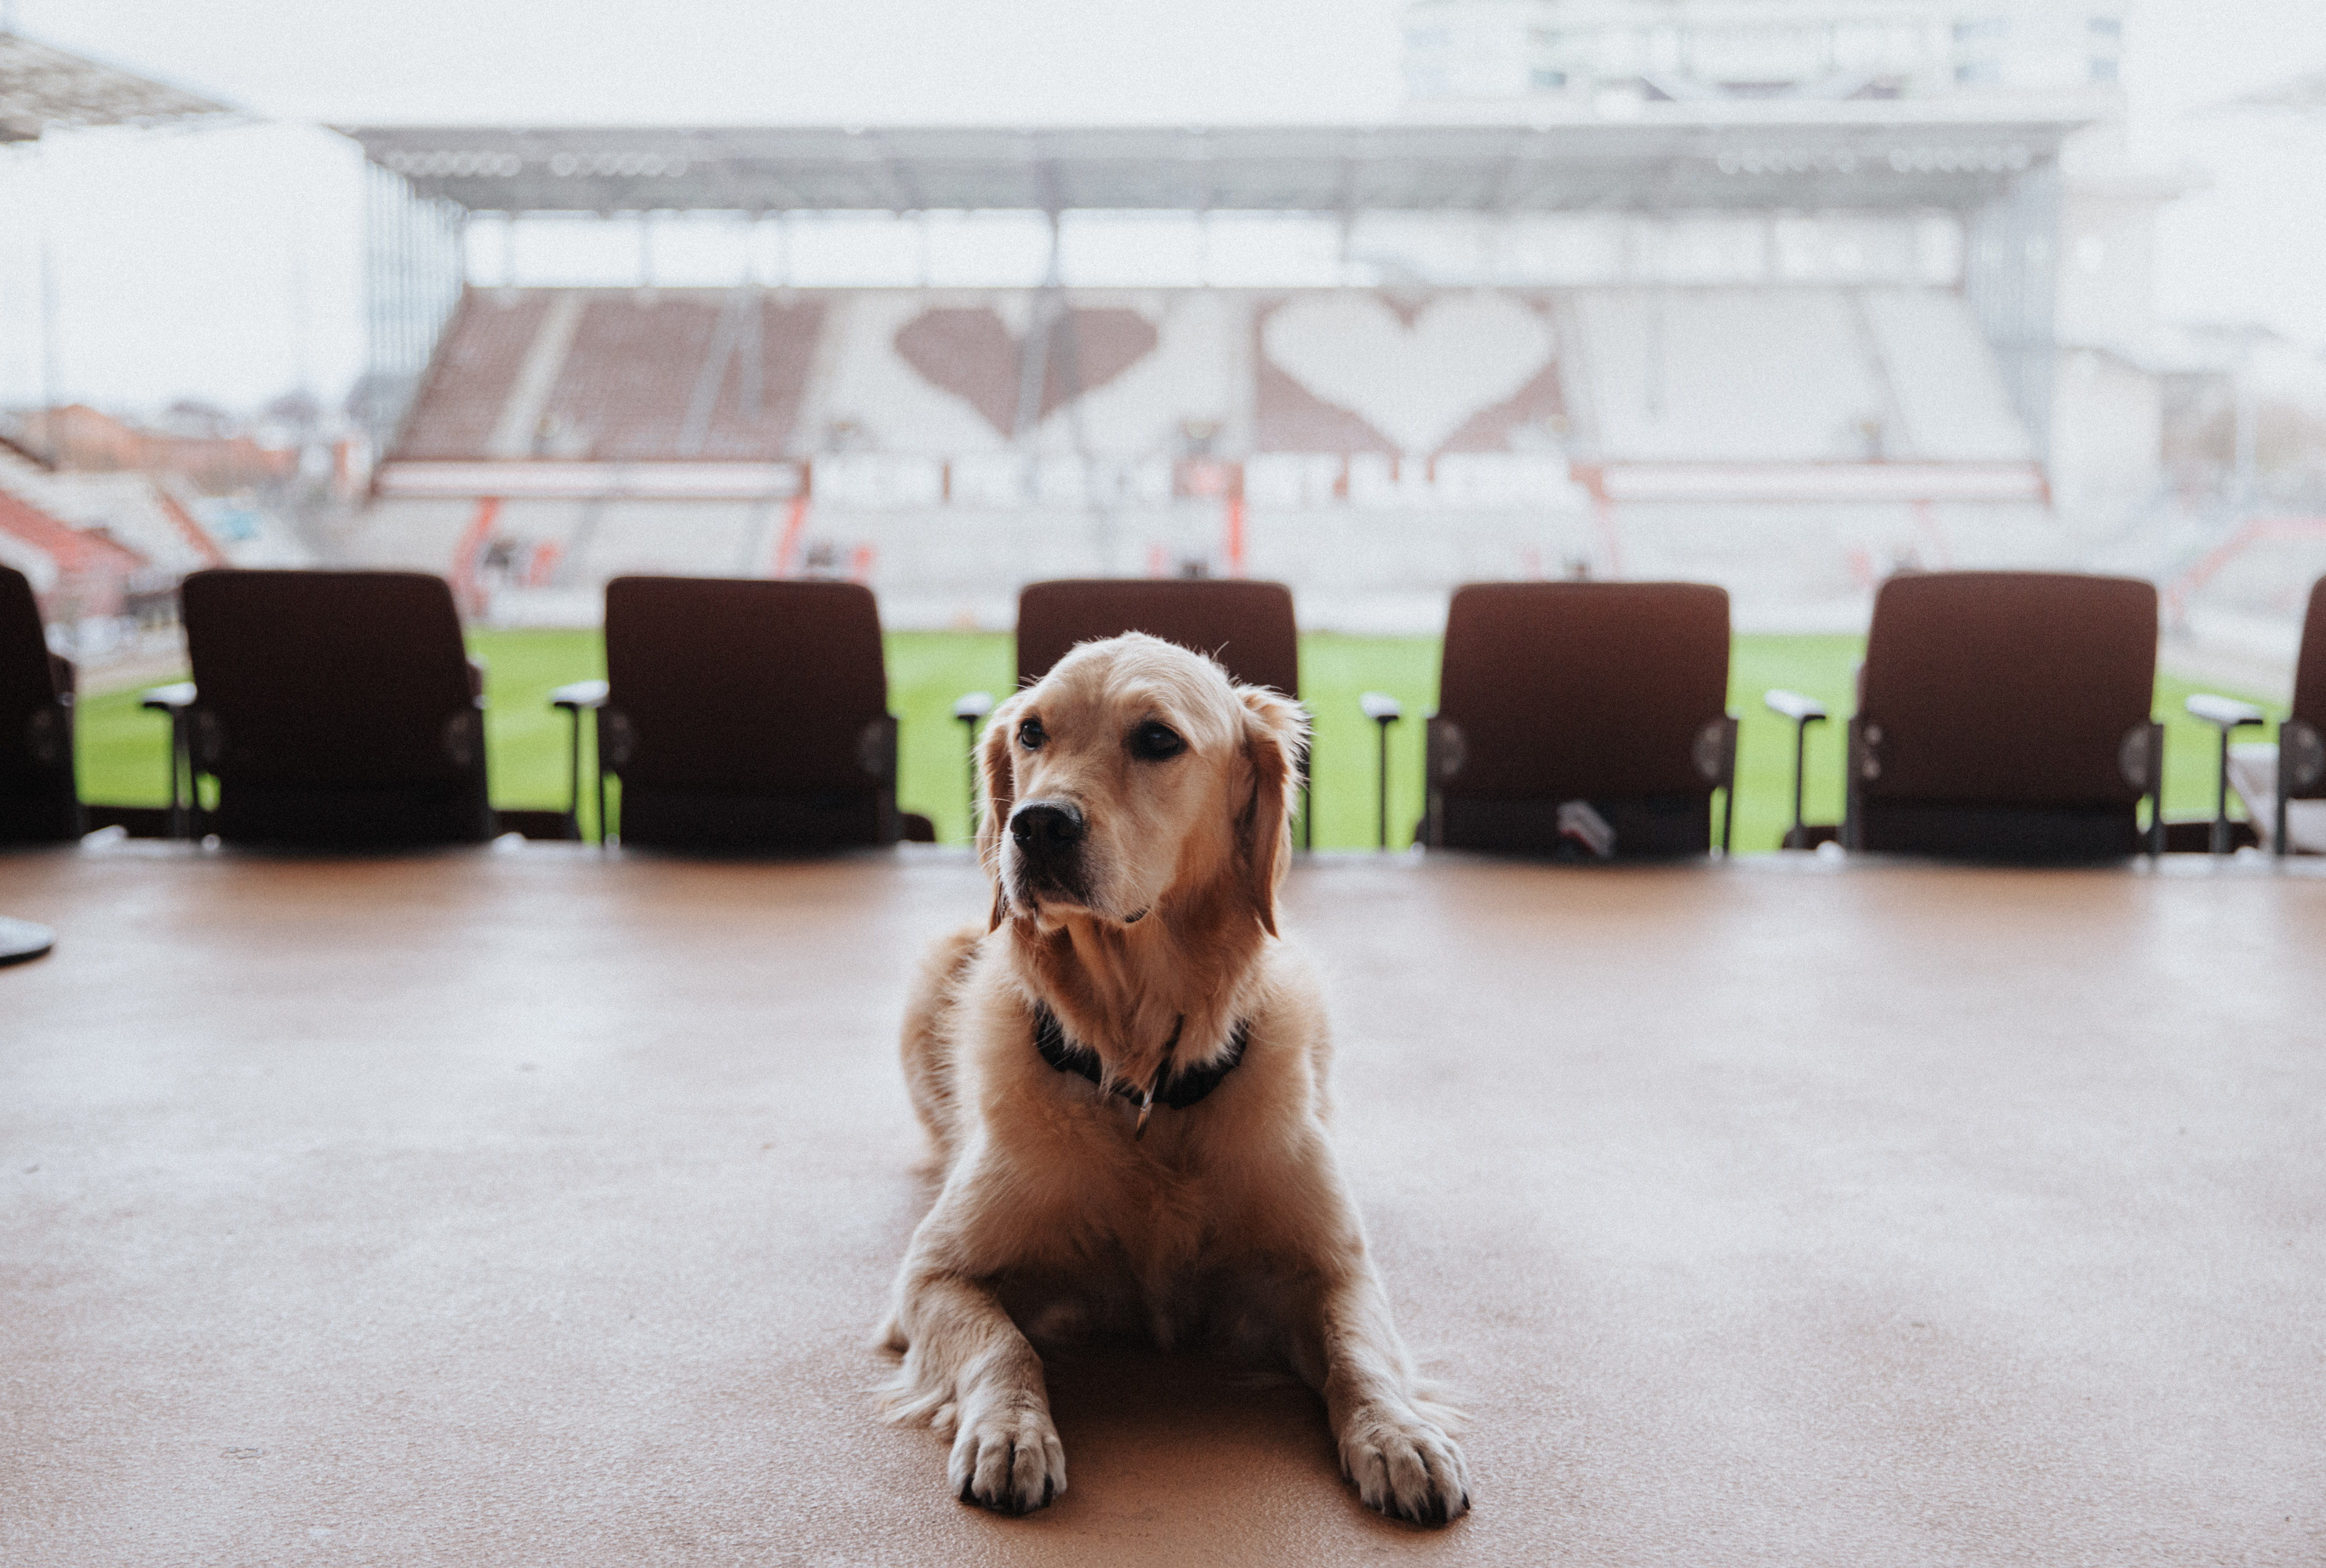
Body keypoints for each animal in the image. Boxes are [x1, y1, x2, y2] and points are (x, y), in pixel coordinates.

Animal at [879, 633, 1460, 1517]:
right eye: (1033, 733)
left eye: (1157, 739)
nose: (1035, 824)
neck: (1142, 1073)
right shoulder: (933, 1274)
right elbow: (1002, 1345)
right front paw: (1010, 1431)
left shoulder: (1336, 1267)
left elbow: (1360, 1350)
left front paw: (1399, 1436)